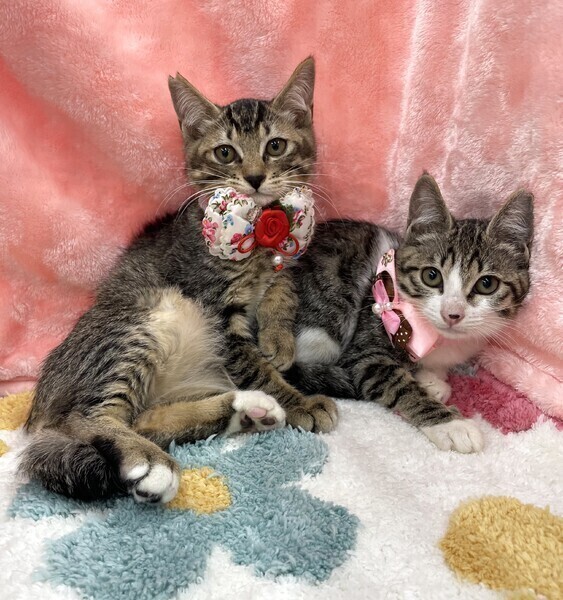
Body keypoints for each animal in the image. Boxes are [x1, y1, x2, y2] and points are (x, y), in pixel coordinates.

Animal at [21, 57, 337, 503]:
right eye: (225, 153)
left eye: (275, 146)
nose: (255, 177)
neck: (256, 240)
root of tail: (38, 407)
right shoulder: (216, 311)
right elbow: (252, 362)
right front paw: (299, 401)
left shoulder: (283, 260)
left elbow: (283, 286)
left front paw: (279, 338)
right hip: (139, 322)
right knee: (88, 415)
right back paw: (150, 462)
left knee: (144, 419)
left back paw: (243, 411)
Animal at [262, 173, 533, 452]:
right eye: (431, 276)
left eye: (486, 284)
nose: (452, 314)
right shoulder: (365, 349)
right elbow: (398, 385)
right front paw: (451, 425)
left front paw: (430, 378)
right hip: (323, 326)